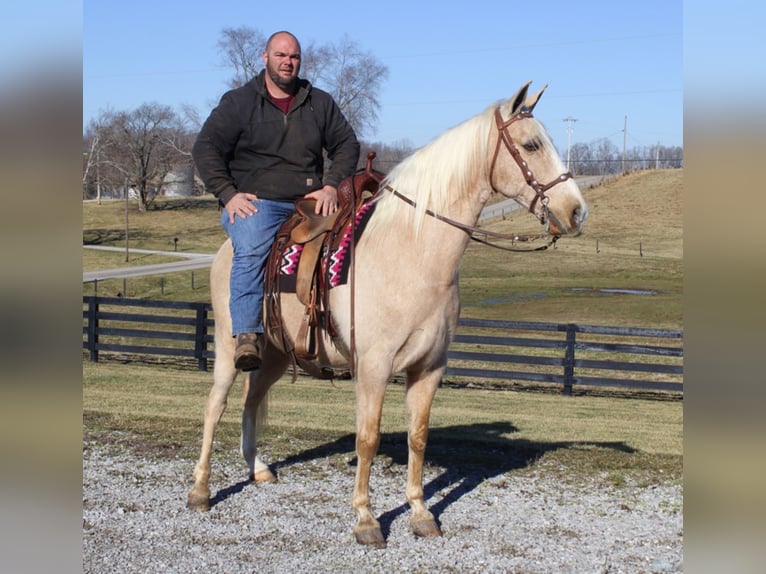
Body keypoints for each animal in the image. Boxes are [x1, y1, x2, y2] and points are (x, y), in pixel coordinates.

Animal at [188, 82, 588, 548]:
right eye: (531, 144)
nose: (577, 211)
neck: (411, 252)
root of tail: (224, 251)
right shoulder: (374, 366)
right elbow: (368, 438)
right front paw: (366, 520)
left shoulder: (429, 367)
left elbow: (418, 437)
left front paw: (420, 513)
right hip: (230, 346)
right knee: (215, 405)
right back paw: (200, 490)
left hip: (276, 354)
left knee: (252, 399)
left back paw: (257, 469)